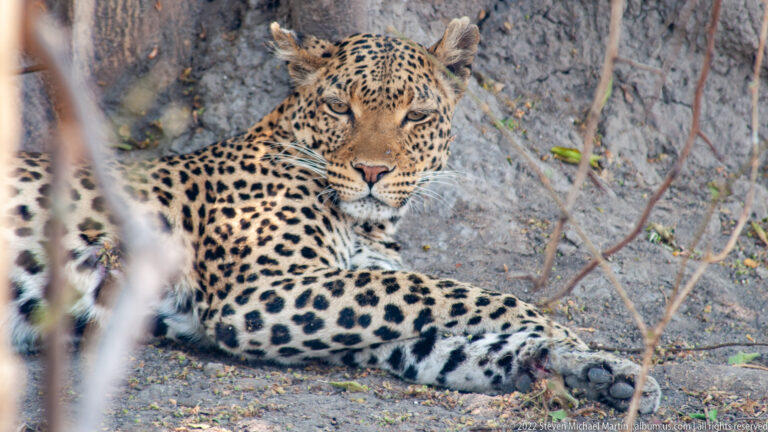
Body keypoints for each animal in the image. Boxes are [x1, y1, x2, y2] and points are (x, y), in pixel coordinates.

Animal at [5, 17, 661, 414]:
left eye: (416, 115)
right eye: (339, 107)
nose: (372, 171)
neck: (368, 221)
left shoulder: (349, 324)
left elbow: (452, 332)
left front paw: (599, 369)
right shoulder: (260, 294)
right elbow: (450, 291)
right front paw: (563, 333)